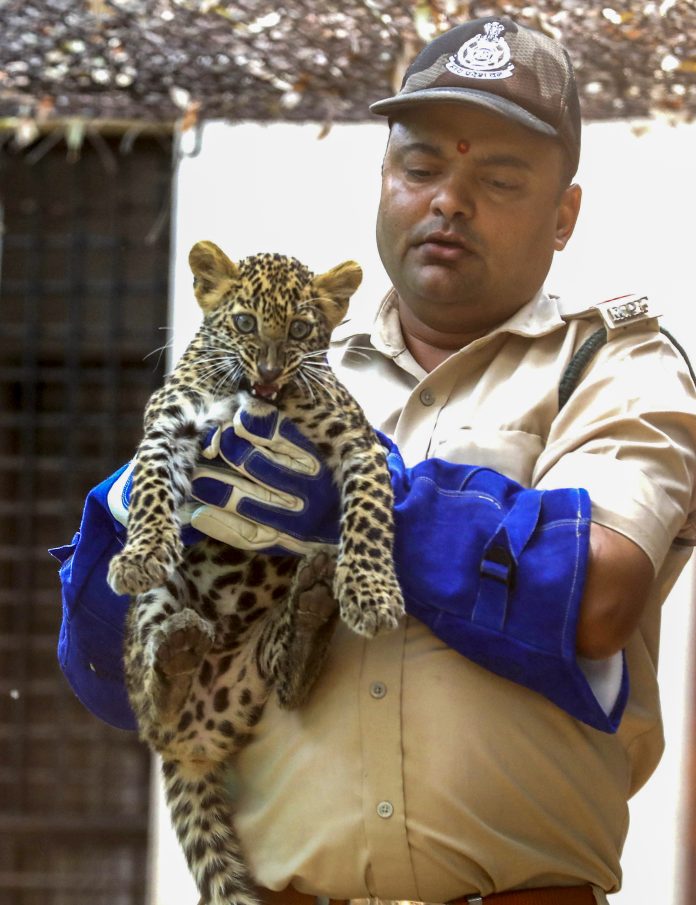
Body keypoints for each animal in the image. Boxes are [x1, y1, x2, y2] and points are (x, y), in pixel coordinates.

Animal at [106, 240, 405, 905]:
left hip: (256, 676)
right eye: (244, 322)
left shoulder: (357, 442)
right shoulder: (167, 426)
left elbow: (371, 515)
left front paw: (372, 592)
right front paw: (141, 550)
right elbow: (151, 488)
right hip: (156, 628)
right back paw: (177, 654)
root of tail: (196, 748)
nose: (267, 373)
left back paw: (315, 606)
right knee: (150, 708)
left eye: (298, 329)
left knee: (287, 674)